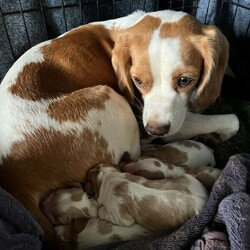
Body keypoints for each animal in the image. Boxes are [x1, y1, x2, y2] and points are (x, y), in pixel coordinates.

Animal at [0, 8, 239, 247]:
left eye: (185, 80)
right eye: (137, 81)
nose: (155, 130)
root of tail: (14, 181)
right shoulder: (147, 120)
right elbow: (232, 120)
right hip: (113, 101)